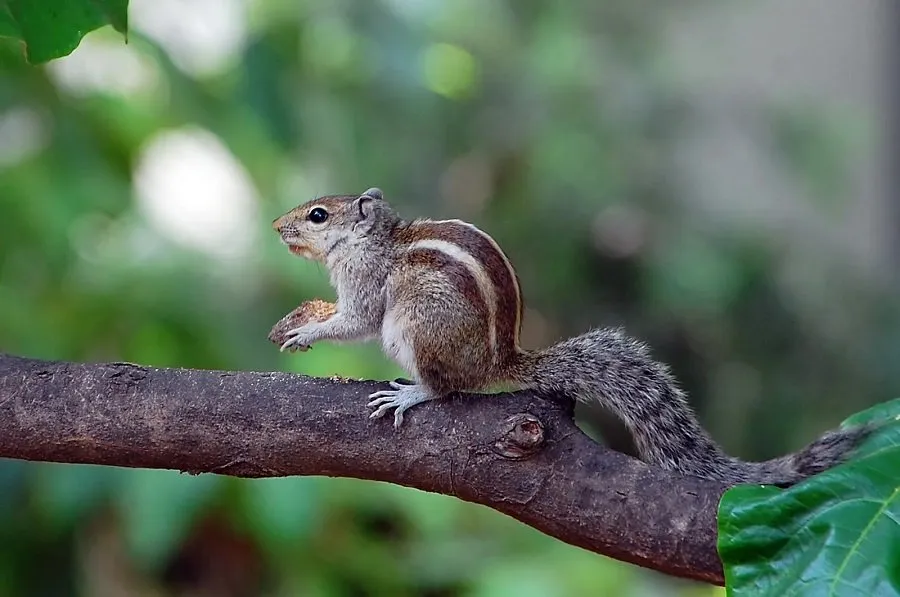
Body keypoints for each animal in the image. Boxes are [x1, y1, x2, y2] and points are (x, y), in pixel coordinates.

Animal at [271, 188, 871, 486]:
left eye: (318, 215)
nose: (277, 226)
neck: (374, 239)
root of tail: (498, 363)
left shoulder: (367, 283)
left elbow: (357, 320)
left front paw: (308, 329)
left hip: (416, 328)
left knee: (446, 387)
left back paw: (411, 392)